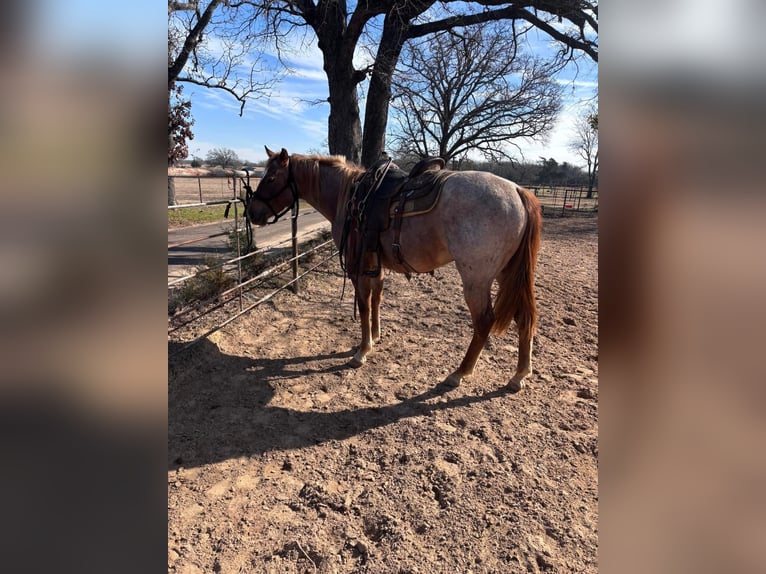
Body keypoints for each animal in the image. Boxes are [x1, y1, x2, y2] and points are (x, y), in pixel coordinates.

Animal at [249, 146, 544, 394]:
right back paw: (519, 375)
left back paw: (459, 373)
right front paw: (375, 337)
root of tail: (518, 191)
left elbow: (364, 306)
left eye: (271, 178)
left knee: (484, 322)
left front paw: (362, 351)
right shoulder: (374, 266)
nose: (252, 213)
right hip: (508, 274)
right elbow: (376, 301)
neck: (348, 195)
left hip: (476, 280)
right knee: (523, 317)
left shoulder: (358, 268)